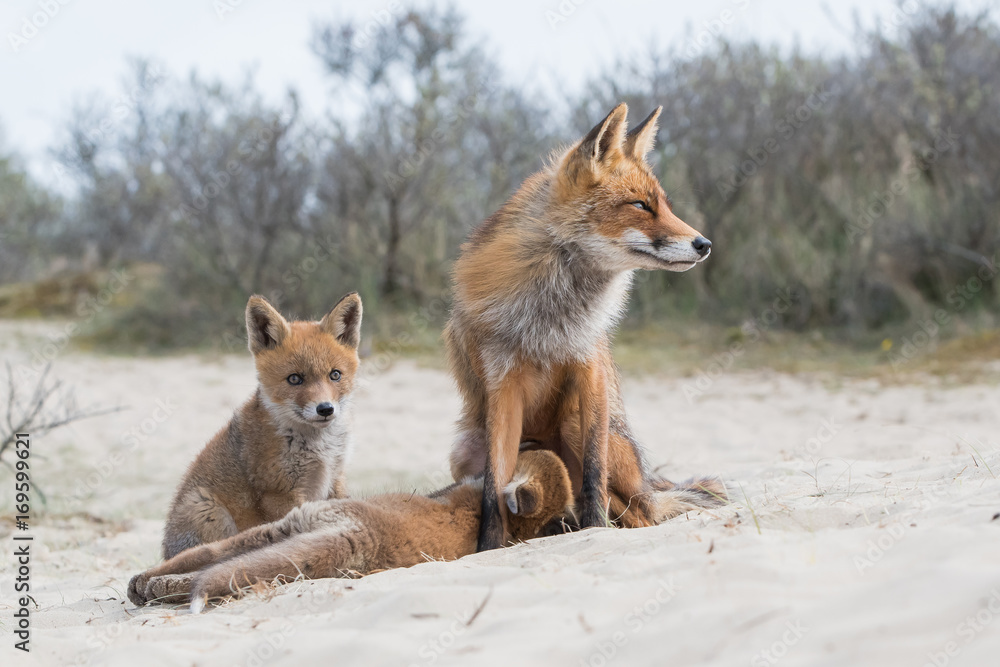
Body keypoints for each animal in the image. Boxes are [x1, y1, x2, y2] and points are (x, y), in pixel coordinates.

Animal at [160, 292, 363, 559]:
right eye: (295, 379)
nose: (325, 409)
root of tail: (165, 552)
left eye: (335, 375)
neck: (319, 447)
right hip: (206, 508)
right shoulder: (278, 493)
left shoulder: (335, 478)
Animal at [445, 103, 727, 551]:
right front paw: (487, 549)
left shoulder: (587, 366)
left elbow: (594, 475)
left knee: (638, 512)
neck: (549, 318)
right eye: (640, 205)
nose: (704, 244)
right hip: (463, 448)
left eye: (664, 205)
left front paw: (594, 530)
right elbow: (493, 486)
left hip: (579, 426)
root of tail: (648, 485)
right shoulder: (502, 385)